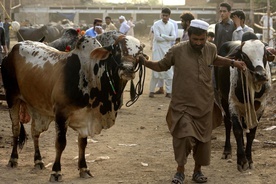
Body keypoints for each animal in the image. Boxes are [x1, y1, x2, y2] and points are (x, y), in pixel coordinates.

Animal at [1, 34, 146, 181]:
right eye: (117, 49)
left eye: (139, 52)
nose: (127, 69)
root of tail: (15, 47)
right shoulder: (61, 113)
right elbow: (60, 143)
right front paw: (56, 172)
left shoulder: (86, 117)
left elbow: (82, 144)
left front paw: (84, 168)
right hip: (12, 97)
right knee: (15, 129)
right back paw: (13, 159)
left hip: (37, 107)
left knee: (35, 132)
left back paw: (38, 161)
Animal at [216, 34, 274, 171]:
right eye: (244, 56)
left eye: (264, 54)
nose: (261, 75)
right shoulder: (233, 104)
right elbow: (237, 130)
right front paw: (242, 161)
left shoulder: (260, 106)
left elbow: (251, 133)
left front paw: (249, 159)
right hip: (223, 99)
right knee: (228, 124)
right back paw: (227, 151)